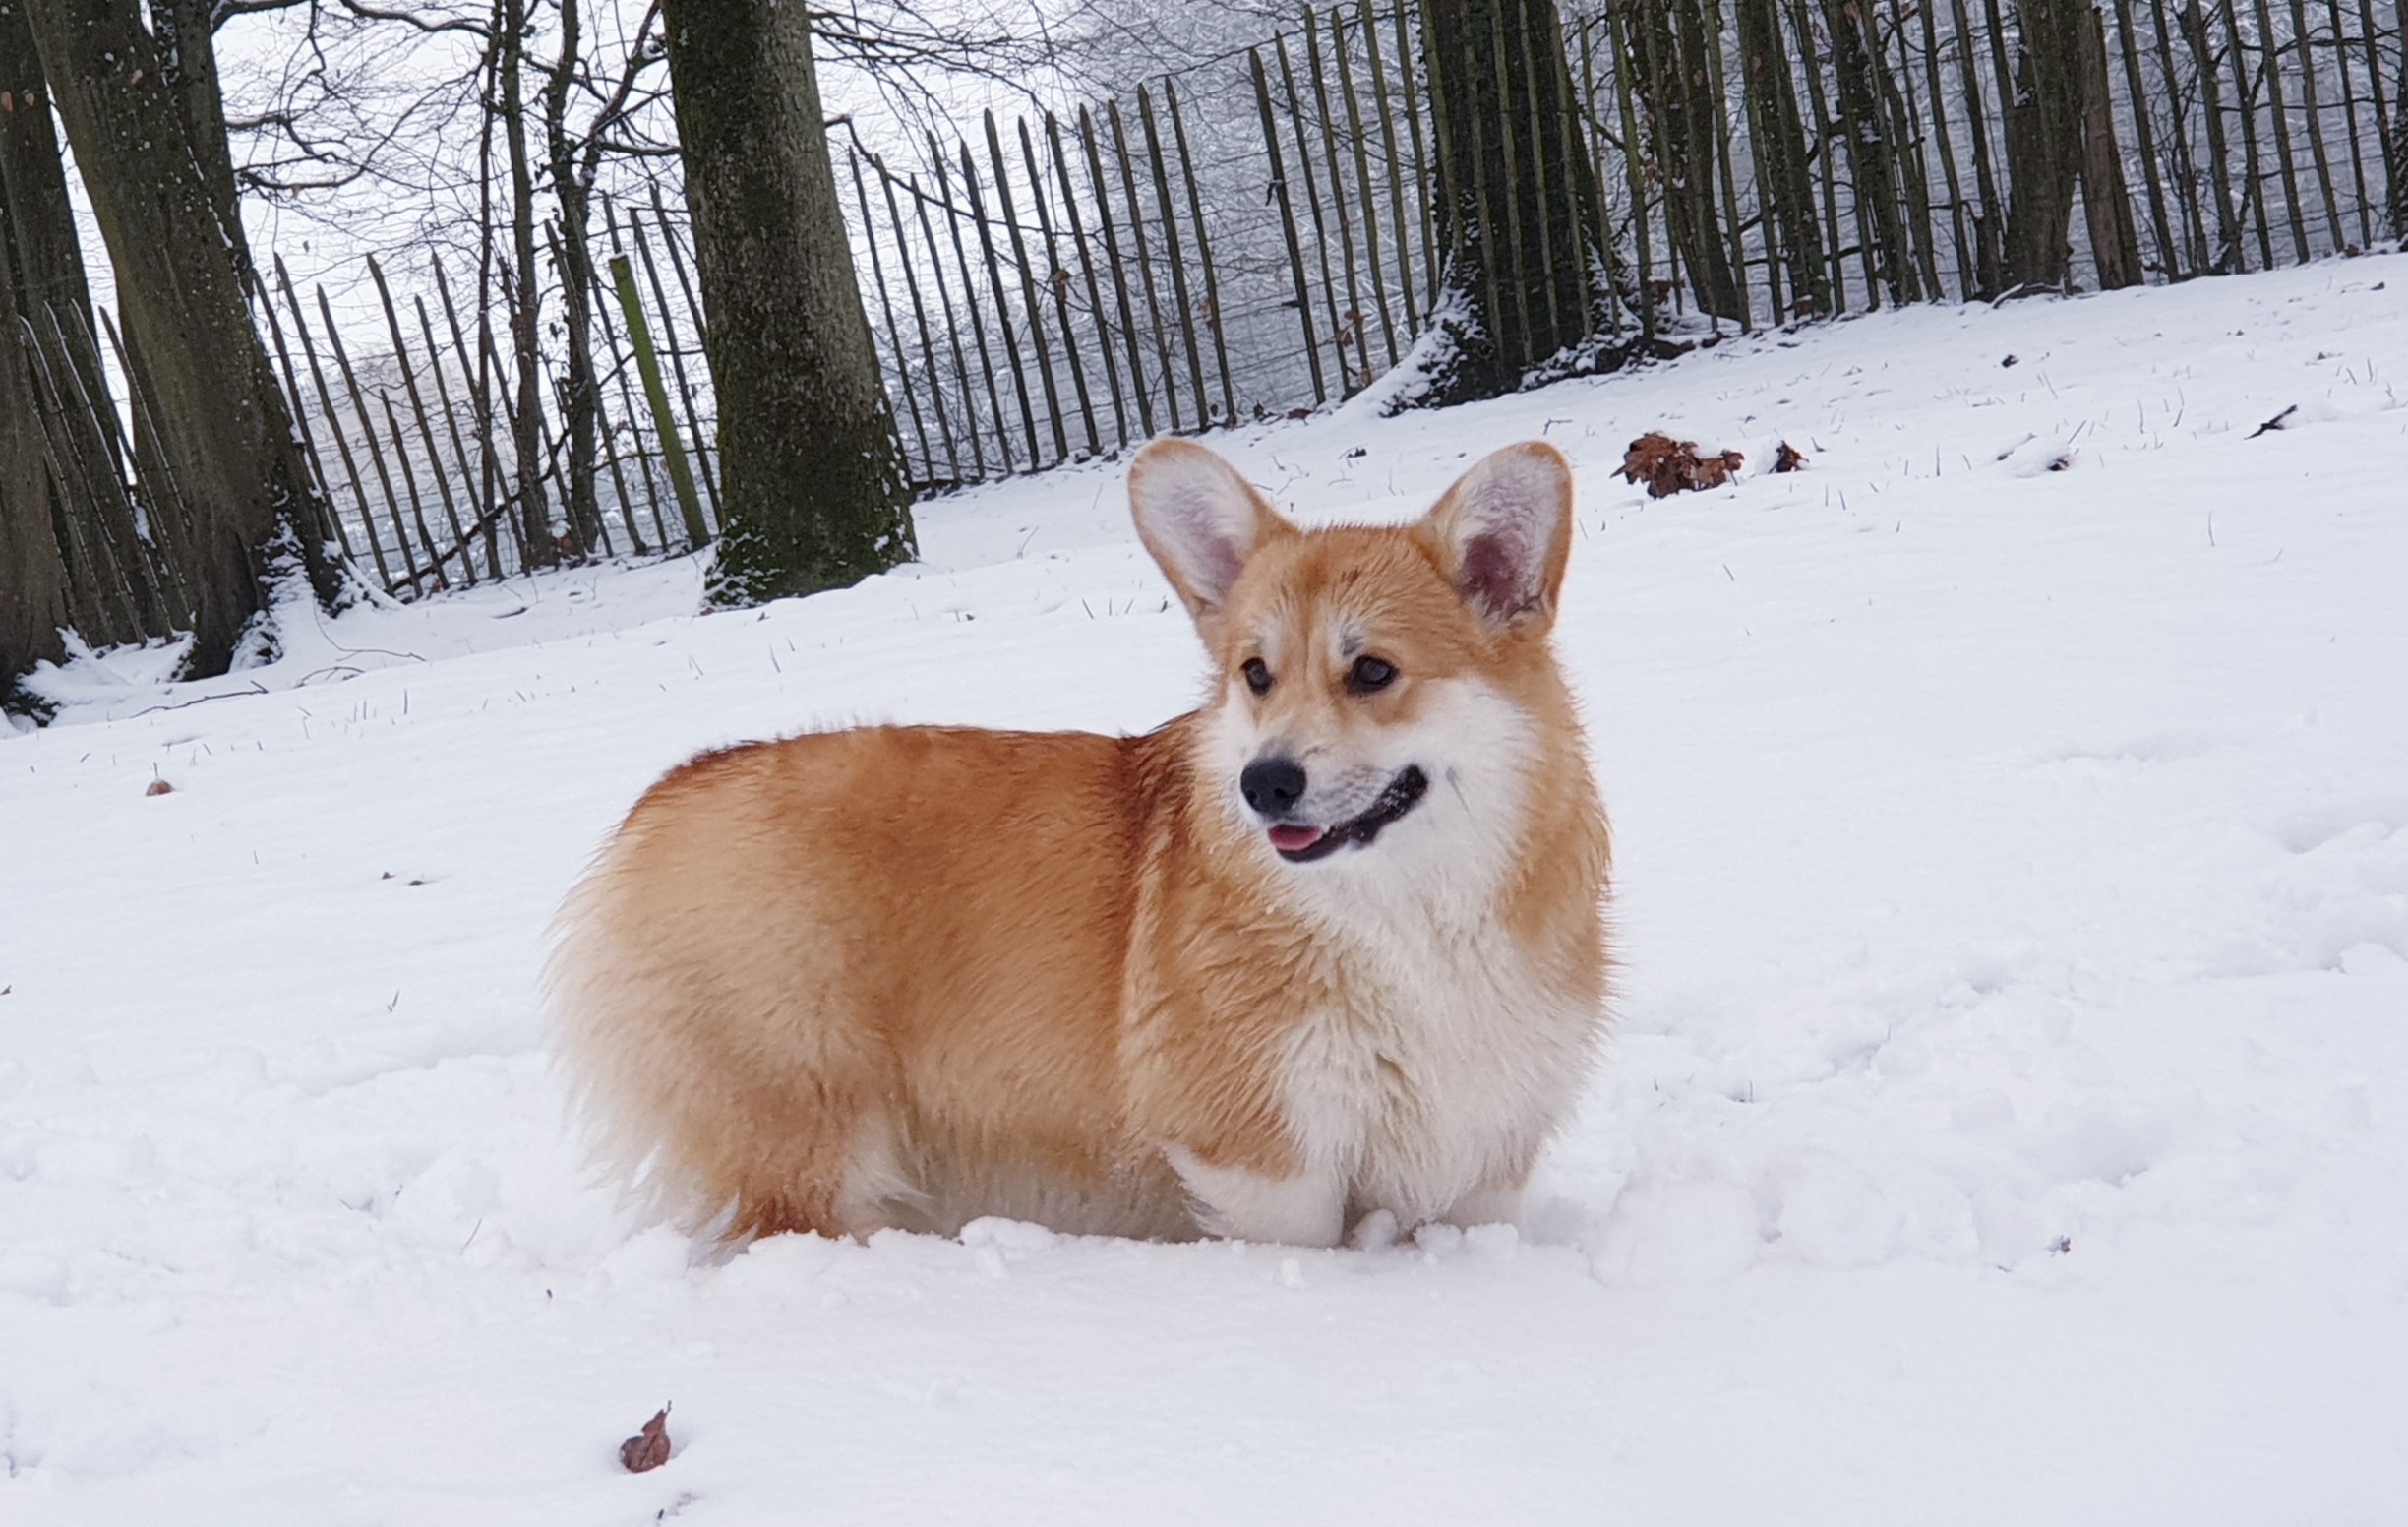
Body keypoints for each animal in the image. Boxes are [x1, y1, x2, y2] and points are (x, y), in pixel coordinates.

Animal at [544, 433, 1598, 1243]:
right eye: (1255, 675)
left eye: (1373, 671)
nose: (1263, 784)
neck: (1410, 917)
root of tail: (668, 793)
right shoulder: (1265, 1161)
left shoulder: (1481, 1159)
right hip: (808, 1141)